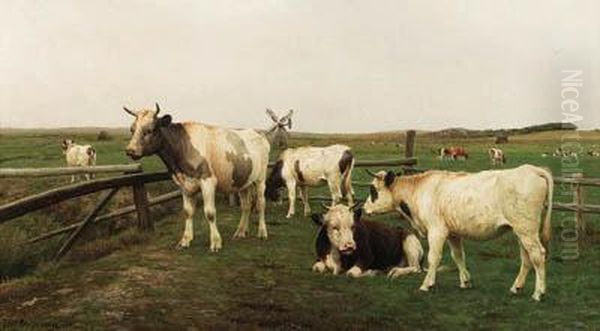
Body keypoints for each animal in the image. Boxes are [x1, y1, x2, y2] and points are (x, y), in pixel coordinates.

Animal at [124, 102, 270, 253]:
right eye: (132, 129)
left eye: (150, 130)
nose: (130, 150)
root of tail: (257, 133)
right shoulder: (184, 184)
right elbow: (188, 212)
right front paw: (185, 240)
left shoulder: (208, 181)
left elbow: (210, 213)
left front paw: (215, 242)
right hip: (243, 181)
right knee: (246, 205)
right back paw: (240, 231)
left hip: (261, 178)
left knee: (261, 203)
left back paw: (262, 232)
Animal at [360, 165, 552, 302]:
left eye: (373, 190)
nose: (363, 208)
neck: (418, 191)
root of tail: (532, 169)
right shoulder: (452, 233)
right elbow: (458, 256)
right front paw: (465, 281)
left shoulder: (436, 230)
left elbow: (433, 258)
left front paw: (427, 284)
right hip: (521, 231)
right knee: (526, 258)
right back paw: (516, 287)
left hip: (526, 230)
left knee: (537, 255)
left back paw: (538, 293)